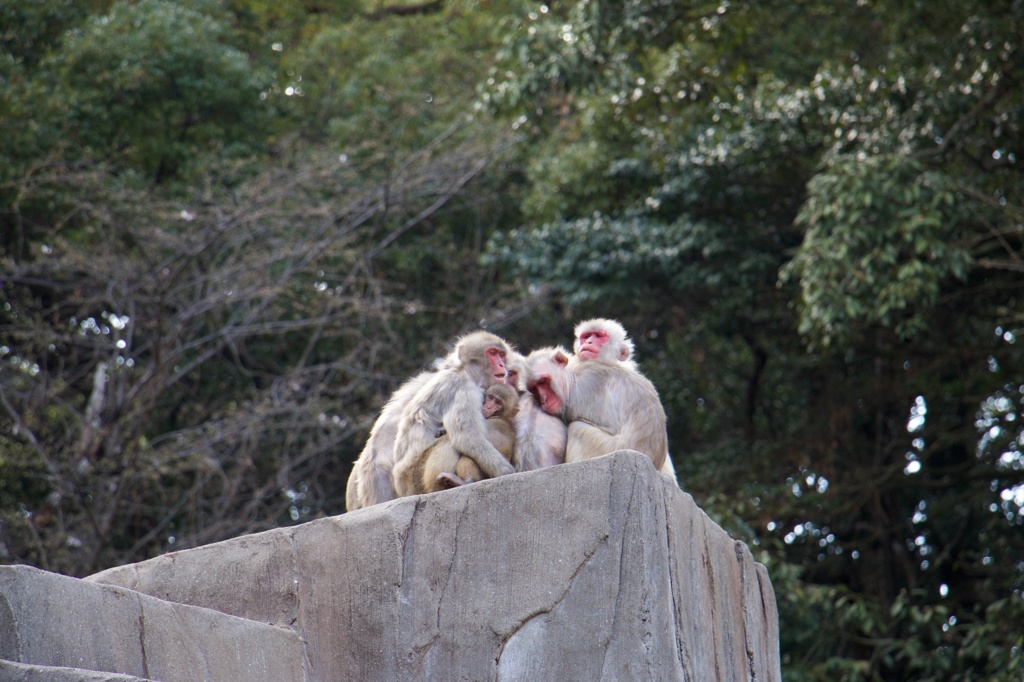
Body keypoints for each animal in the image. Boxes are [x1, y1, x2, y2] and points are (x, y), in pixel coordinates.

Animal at [391, 329, 520, 493]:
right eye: (492, 353)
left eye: (502, 354)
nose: (502, 364)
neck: (468, 373)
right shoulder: (464, 390)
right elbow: (467, 438)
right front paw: (508, 472)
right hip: (414, 478)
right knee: (449, 442)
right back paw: (441, 486)